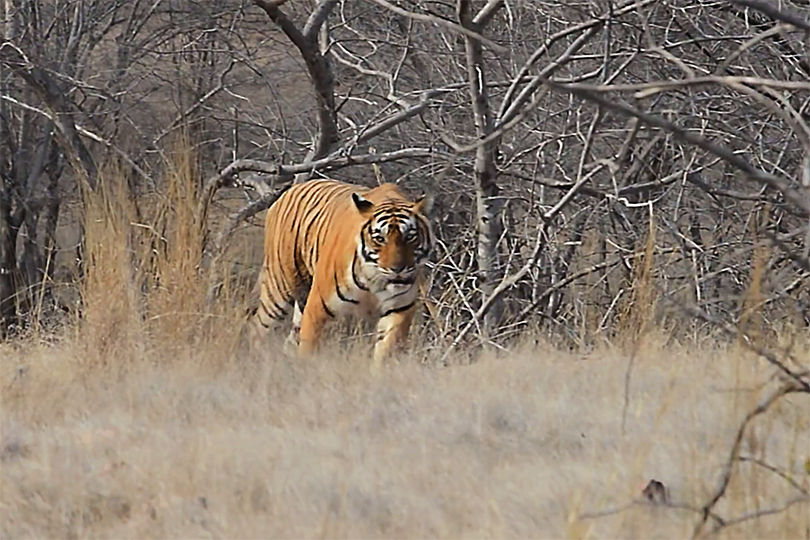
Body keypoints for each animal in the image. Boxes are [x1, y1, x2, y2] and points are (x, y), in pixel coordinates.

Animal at [249, 179, 432, 370]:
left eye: (410, 237)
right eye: (380, 239)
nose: (397, 268)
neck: (374, 281)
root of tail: (290, 190)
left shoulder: (399, 310)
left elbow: (385, 354)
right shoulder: (317, 309)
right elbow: (308, 349)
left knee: (289, 340)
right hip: (280, 287)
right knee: (258, 328)